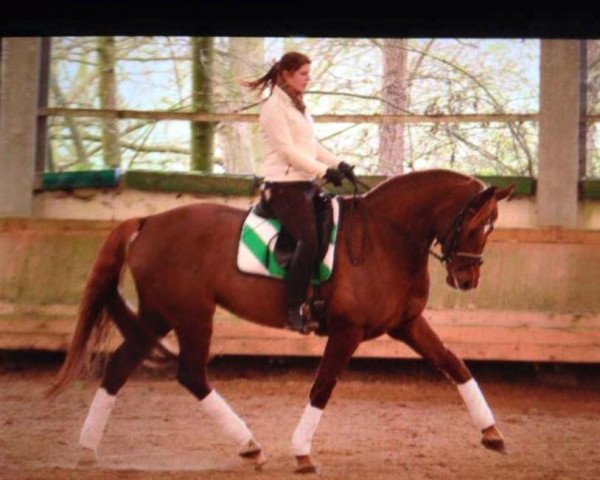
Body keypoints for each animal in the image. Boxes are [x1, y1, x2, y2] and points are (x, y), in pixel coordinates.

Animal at [49, 169, 512, 472]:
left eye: (492, 227)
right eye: (476, 225)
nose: (467, 279)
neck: (386, 237)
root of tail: (148, 222)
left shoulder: (407, 324)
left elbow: (455, 364)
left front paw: (492, 433)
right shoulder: (347, 332)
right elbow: (322, 387)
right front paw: (302, 452)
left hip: (159, 314)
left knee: (120, 365)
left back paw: (87, 450)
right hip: (191, 314)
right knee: (191, 374)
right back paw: (250, 446)